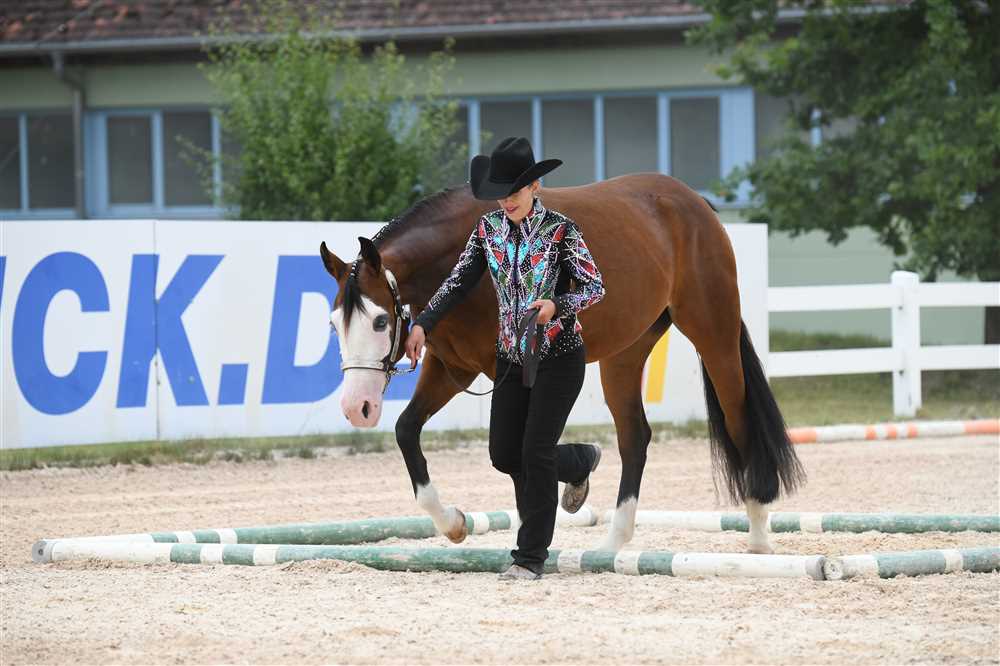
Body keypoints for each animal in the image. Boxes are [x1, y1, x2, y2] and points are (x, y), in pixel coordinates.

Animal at [319, 172, 805, 554]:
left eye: (381, 321)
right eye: (333, 324)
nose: (357, 408)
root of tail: (693, 202)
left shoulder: (503, 372)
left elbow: (516, 452)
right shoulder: (453, 370)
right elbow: (408, 432)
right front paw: (455, 523)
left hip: (714, 335)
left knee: (738, 420)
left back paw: (758, 533)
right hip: (624, 354)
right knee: (635, 438)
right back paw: (613, 541)